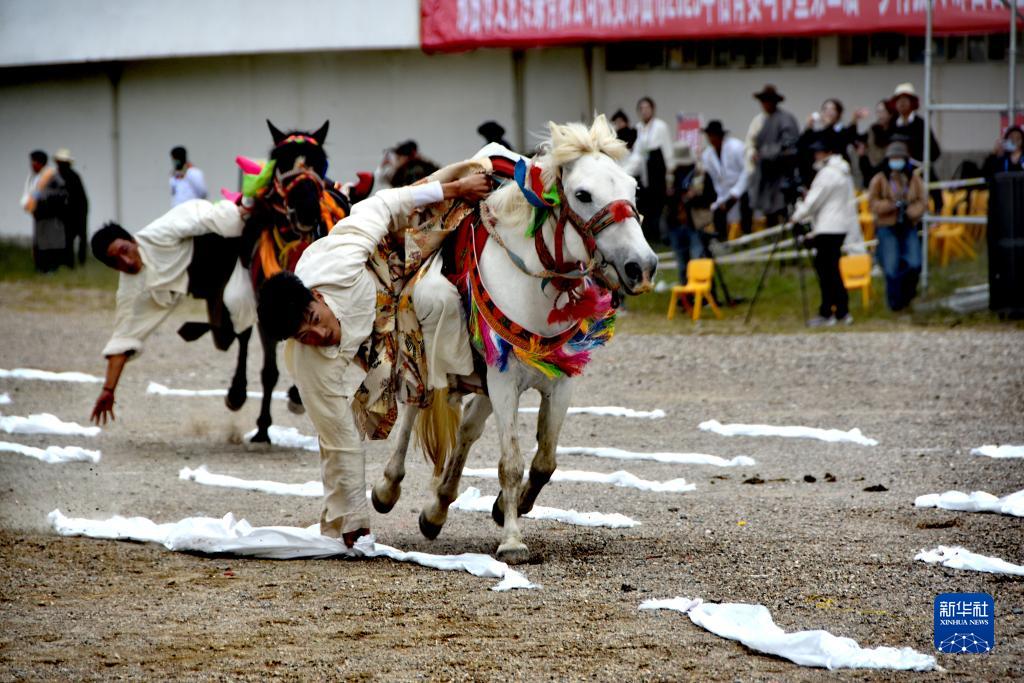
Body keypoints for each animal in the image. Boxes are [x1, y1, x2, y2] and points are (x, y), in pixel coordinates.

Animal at [370, 116, 657, 564]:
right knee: (414, 412)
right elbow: (510, 462)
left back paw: (437, 510)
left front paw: (511, 506)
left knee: (467, 431)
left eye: (633, 189)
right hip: (431, 358)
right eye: (583, 194)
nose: (641, 267)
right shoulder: (504, 381)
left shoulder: (559, 382)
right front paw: (512, 541)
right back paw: (387, 488)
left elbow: (545, 461)